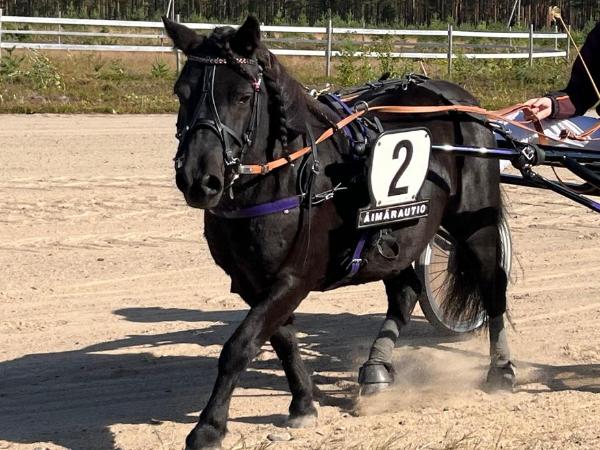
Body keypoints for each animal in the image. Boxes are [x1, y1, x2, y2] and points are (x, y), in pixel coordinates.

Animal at [162, 16, 515, 450]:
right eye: (182, 92)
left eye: (242, 96)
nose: (199, 179)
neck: (286, 176)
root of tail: (460, 99)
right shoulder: (252, 281)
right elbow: (282, 340)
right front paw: (303, 404)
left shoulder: (295, 276)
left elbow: (240, 345)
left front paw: (209, 426)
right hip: (402, 234)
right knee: (406, 290)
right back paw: (377, 368)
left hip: (472, 223)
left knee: (492, 284)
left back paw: (501, 371)